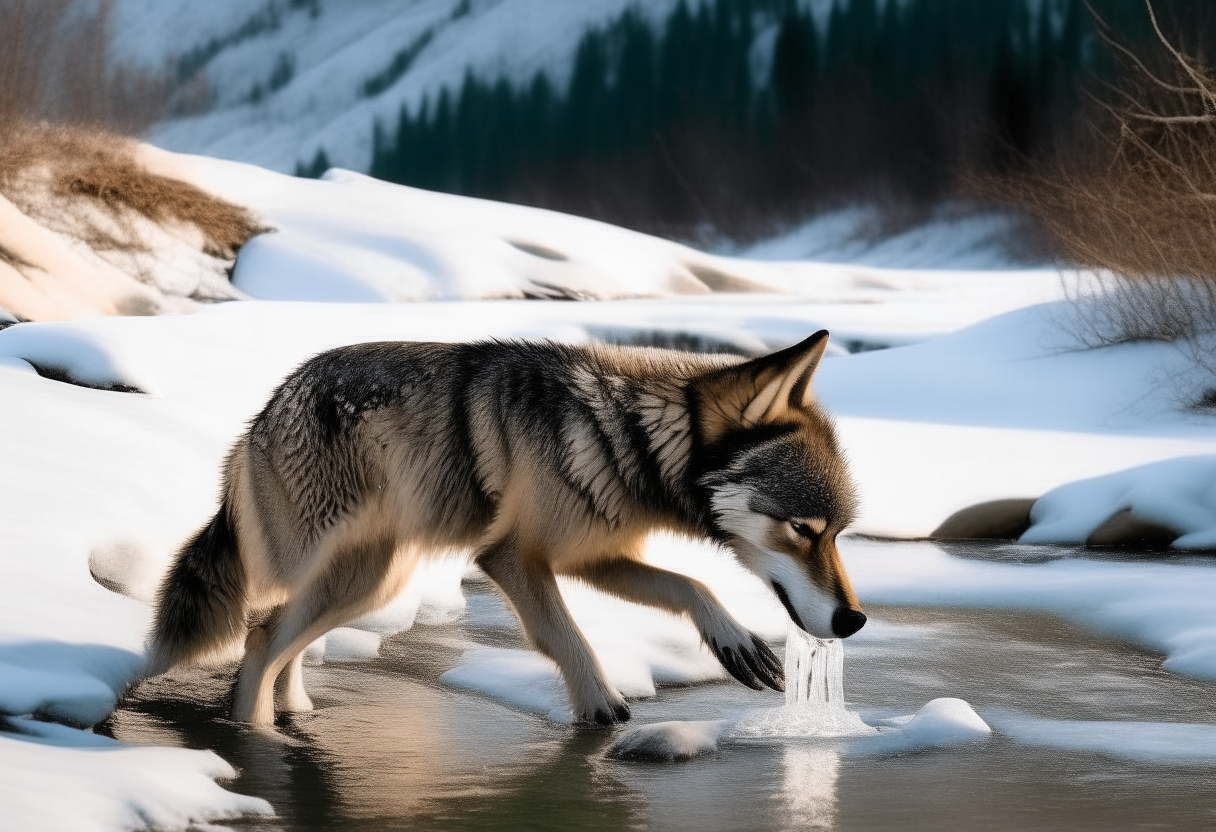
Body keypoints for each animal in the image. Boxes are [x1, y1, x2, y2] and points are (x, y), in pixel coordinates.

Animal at [144, 328, 865, 724]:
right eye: (805, 529)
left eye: (839, 532)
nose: (854, 620)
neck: (628, 441)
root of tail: (258, 419)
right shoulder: (513, 558)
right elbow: (569, 639)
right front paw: (600, 708)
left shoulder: (593, 558)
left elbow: (692, 586)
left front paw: (732, 639)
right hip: (336, 574)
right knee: (262, 633)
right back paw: (255, 730)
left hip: (368, 582)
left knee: (279, 636)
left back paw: (294, 711)